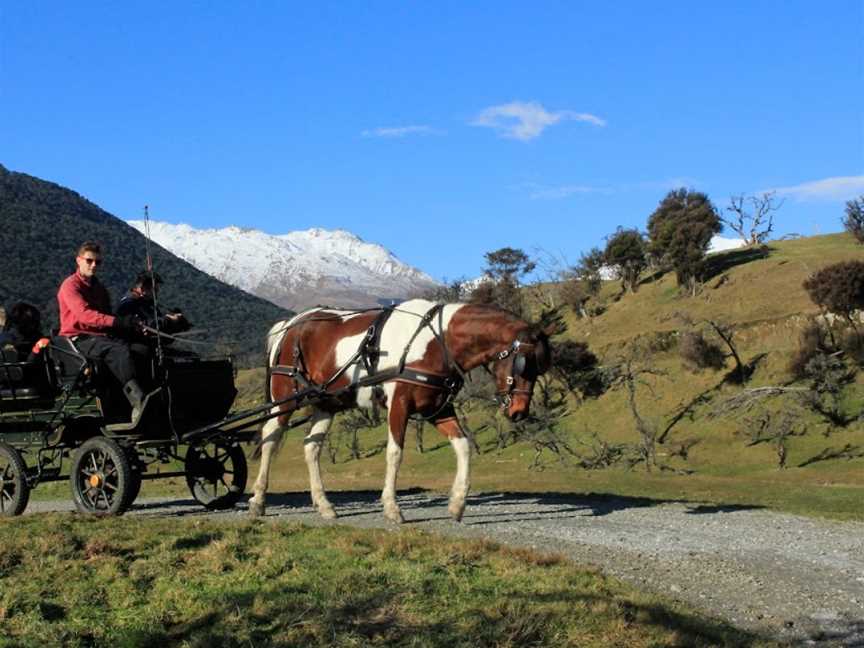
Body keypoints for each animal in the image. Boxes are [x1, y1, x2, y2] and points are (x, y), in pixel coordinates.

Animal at [246, 298, 552, 520]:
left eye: (539, 368)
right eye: (523, 364)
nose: (519, 412)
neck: (435, 341)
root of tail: (291, 324)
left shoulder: (437, 409)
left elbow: (463, 446)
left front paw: (457, 504)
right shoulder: (399, 404)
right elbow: (395, 453)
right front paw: (392, 508)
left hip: (325, 401)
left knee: (311, 447)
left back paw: (324, 505)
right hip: (285, 397)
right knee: (270, 439)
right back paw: (258, 500)